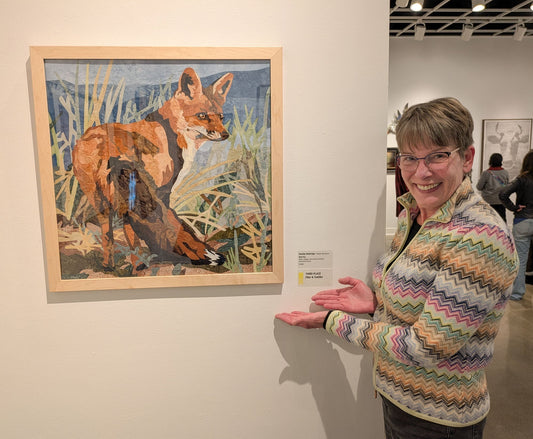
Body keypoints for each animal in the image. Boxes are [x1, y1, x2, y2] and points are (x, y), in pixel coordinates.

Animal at [71, 68, 232, 272]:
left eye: (221, 117)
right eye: (202, 115)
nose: (226, 134)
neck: (169, 132)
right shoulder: (162, 190)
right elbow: (165, 226)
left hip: (97, 198)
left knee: (106, 233)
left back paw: (111, 265)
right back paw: (139, 264)